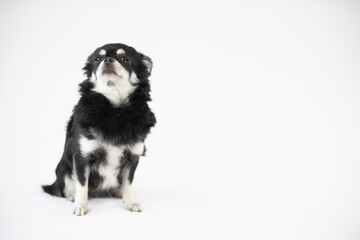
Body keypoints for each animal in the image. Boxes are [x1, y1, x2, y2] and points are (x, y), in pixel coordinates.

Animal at [41, 43, 156, 216]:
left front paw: (130, 202)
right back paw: (71, 194)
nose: (107, 60)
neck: (115, 111)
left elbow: (128, 183)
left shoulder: (132, 158)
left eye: (125, 59)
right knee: (66, 183)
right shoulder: (82, 156)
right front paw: (81, 205)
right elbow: (82, 184)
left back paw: (118, 192)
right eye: (97, 59)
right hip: (63, 166)